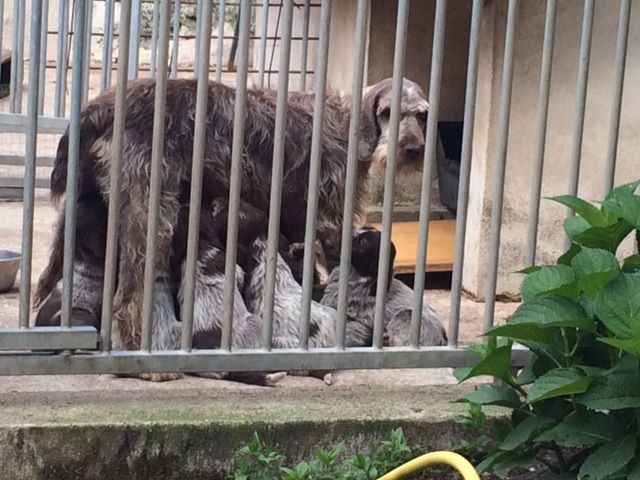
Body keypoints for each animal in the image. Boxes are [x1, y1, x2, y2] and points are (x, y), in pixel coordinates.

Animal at [32, 77, 428, 362]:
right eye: (388, 111)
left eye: (422, 115)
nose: (413, 150)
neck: (349, 126)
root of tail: (98, 108)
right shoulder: (330, 222)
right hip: (150, 214)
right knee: (127, 297)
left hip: (83, 206)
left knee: (49, 276)